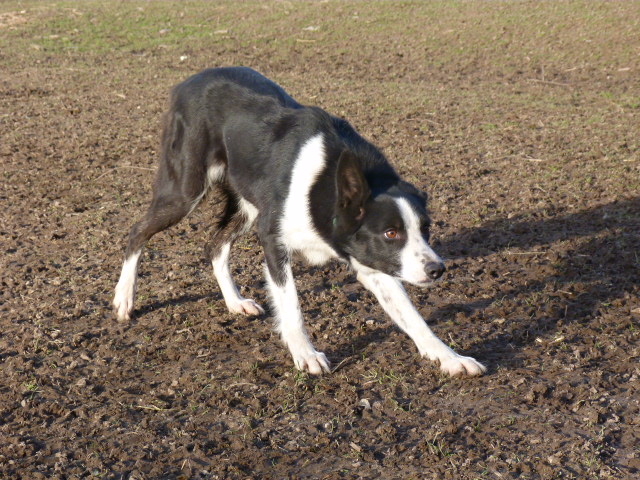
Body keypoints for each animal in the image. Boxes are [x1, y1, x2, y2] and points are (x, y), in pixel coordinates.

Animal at [114, 66, 484, 376]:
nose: (437, 270)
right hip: (185, 192)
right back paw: (124, 299)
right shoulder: (272, 240)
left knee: (215, 244)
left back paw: (234, 302)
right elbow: (291, 305)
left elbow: (412, 316)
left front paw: (449, 357)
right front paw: (305, 354)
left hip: (247, 205)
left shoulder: (370, 260)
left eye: (425, 228)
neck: (327, 185)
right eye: (391, 232)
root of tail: (187, 82)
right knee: (136, 232)